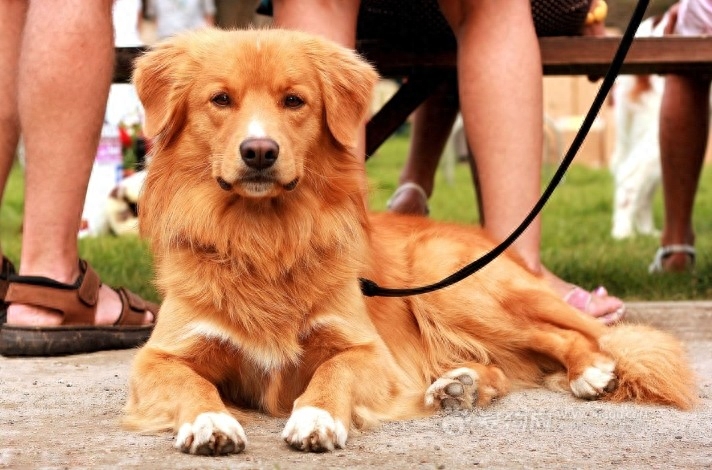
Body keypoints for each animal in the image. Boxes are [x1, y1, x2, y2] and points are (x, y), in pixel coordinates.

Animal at [122, 29, 696, 456]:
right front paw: (209, 421)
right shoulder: (161, 357)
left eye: (294, 101)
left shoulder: (365, 348)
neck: (262, 238)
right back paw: (459, 386)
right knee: (501, 365)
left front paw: (317, 416)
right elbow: (191, 383)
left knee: (566, 335)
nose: (259, 151)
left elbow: (332, 371)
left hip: (453, 290)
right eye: (221, 99)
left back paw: (586, 369)